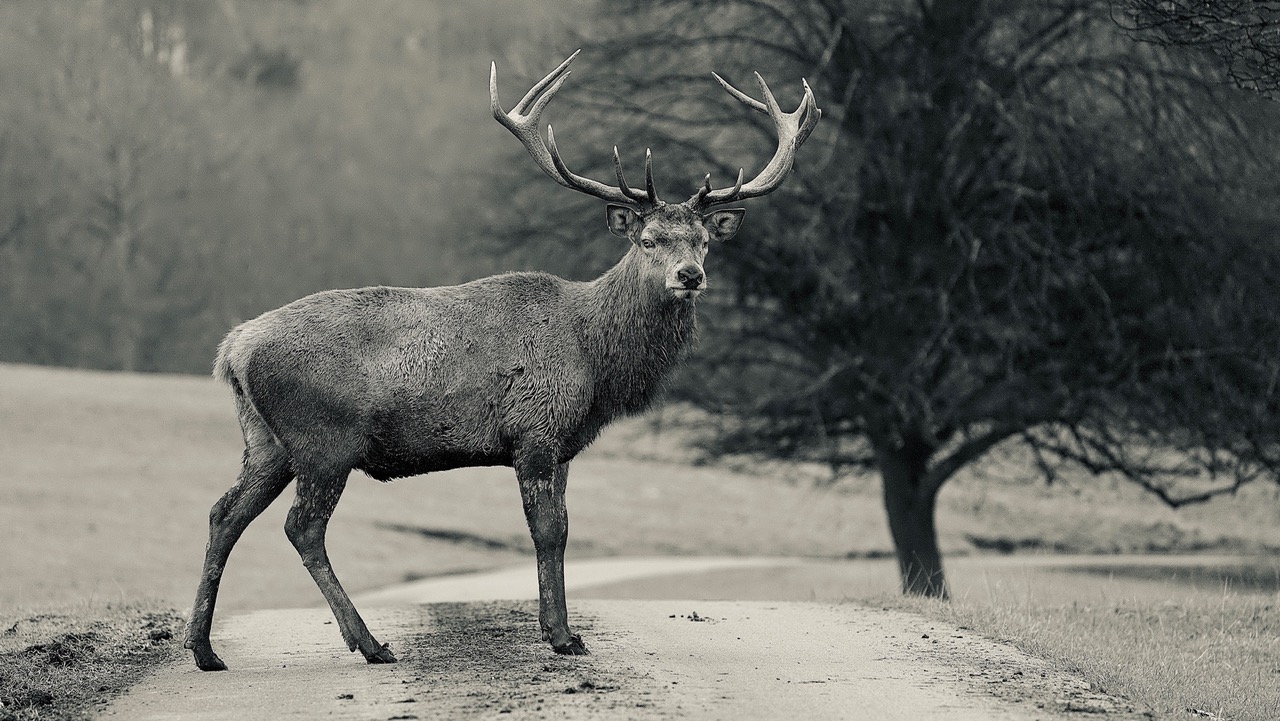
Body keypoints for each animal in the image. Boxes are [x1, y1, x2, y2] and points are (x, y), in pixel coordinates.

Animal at [184, 50, 819, 671]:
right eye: (649, 240)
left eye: (704, 241)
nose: (690, 276)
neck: (594, 358)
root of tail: (233, 349)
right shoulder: (535, 429)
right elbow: (546, 531)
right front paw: (560, 637)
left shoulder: (563, 443)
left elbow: (563, 530)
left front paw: (563, 631)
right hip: (325, 438)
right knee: (302, 528)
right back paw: (368, 643)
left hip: (267, 441)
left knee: (224, 513)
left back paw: (205, 648)